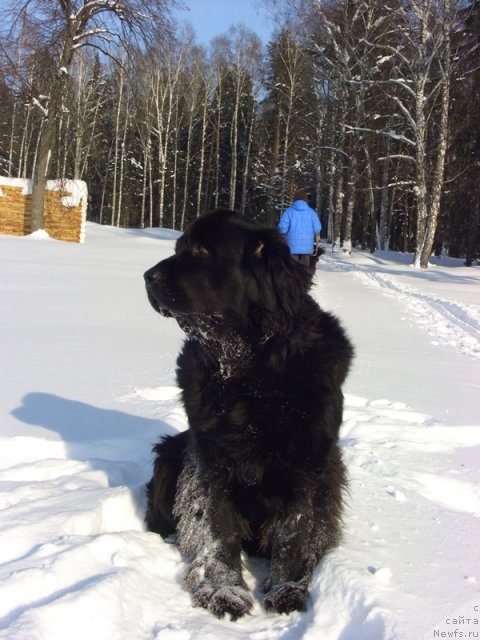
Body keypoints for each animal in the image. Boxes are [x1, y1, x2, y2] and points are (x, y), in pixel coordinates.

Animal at [142, 211, 352, 620]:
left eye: (202, 250)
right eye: (178, 247)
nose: (147, 276)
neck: (251, 369)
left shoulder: (307, 464)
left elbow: (294, 532)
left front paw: (287, 591)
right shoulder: (211, 460)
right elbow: (218, 530)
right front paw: (224, 593)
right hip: (170, 455)